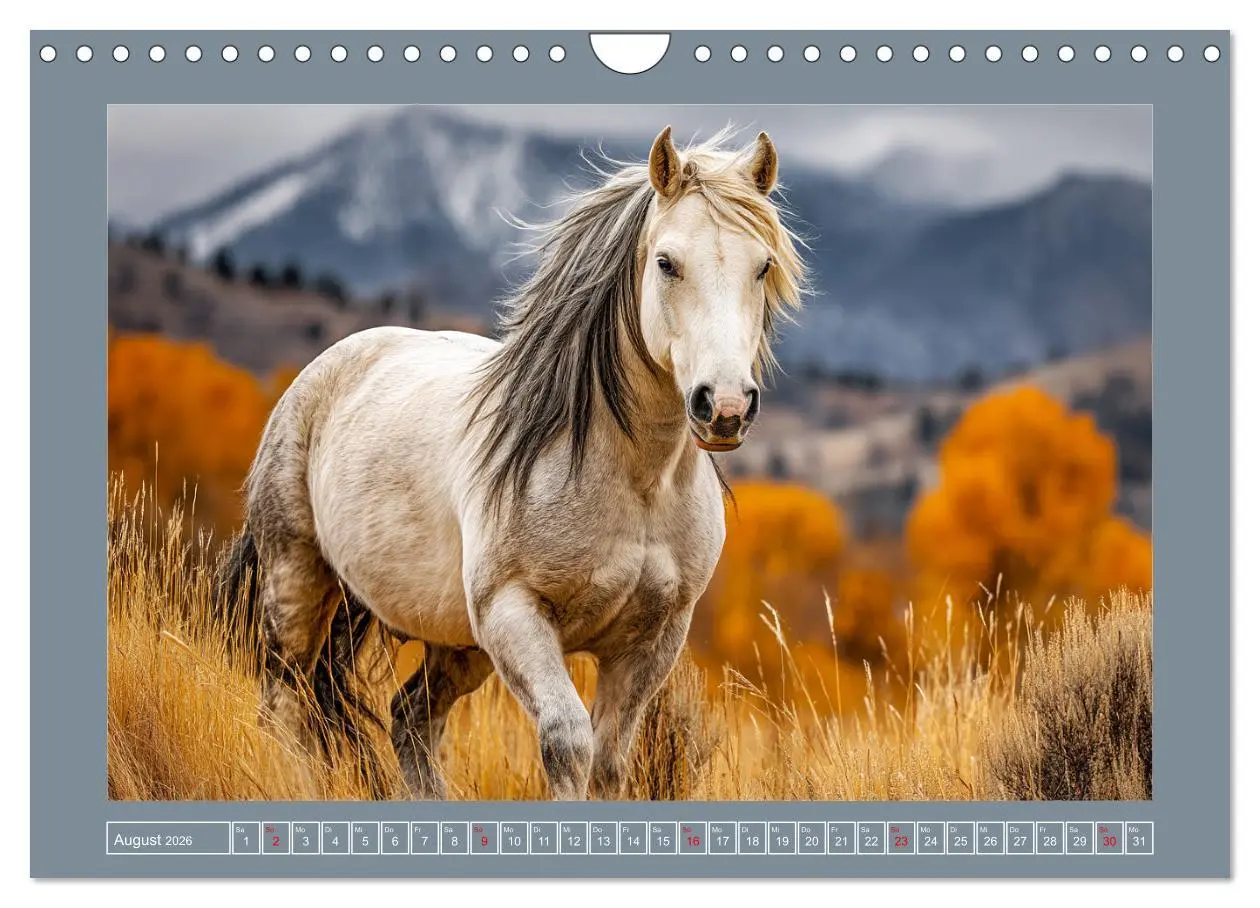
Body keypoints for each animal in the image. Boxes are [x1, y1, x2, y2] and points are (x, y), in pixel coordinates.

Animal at [220, 125, 806, 800]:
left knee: (409, 720)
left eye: (763, 265)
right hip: (297, 581)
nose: (726, 406)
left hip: (456, 643)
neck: (634, 481)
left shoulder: (651, 641)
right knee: (284, 705)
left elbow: (610, 761)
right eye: (666, 263)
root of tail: (321, 372)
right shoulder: (514, 614)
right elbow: (568, 744)